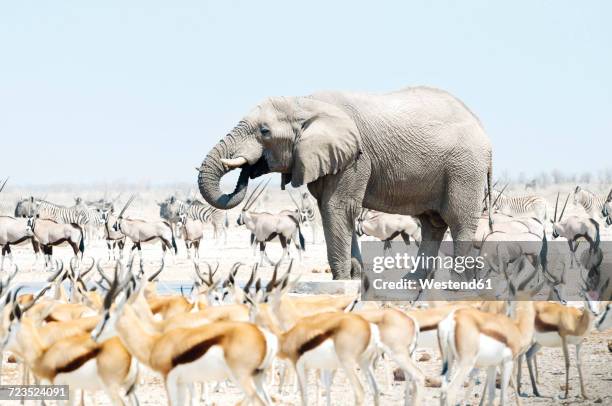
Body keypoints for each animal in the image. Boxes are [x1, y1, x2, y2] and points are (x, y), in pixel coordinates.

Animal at [196, 86, 492, 280]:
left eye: (264, 131)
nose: (247, 169)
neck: (304, 103)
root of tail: (483, 131)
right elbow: (335, 210)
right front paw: (355, 275)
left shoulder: (355, 158)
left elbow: (336, 208)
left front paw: (341, 278)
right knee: (432, 223)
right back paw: (413, 281)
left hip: (464, 169)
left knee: (459, 221)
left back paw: (455, 283)